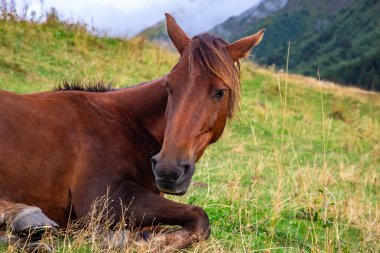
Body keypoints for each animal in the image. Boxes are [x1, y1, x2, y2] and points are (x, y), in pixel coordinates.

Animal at [0, 13, 264, 249]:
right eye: (169, 85)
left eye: (220, 92)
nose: (169, 170)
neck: (126, 121)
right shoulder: (100, 200)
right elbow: (200, 218)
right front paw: (130, 241)